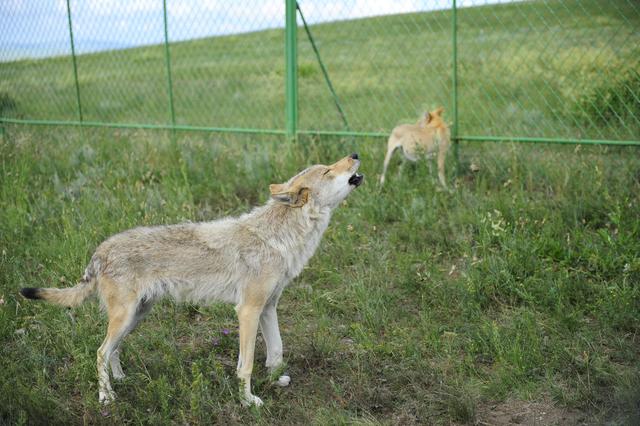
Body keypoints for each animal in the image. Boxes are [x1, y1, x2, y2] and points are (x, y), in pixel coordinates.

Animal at [18, 155, 364, 408]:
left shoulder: (268, 308)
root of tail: (100, 250)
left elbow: (276, 352)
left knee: (113, 351)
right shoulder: (248, 311)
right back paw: (107, 397)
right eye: (329, 170)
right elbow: (246, 364)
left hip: (135, 317)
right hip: (126, 318)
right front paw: (248, 401)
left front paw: (276, 380)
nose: (355, 154)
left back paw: (122, 380)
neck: (280, 238)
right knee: (101, 352)